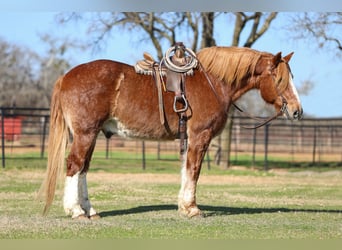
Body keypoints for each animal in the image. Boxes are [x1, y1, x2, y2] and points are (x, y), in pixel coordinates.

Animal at [38, 45, 304, 219]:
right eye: (279, 79)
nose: (297, 111)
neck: (212, 83)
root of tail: (66, 76)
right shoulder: (200, 136)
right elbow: (194, 170)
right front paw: (192, 208)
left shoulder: (188, 139)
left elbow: (186, 170)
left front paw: (183, 206)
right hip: (85, 134)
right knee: (74, 166)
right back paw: (75, 211)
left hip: (90, 135)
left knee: (83, 169)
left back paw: (89, 209)